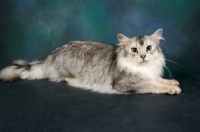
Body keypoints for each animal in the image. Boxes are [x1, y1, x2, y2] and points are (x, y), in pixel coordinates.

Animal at [0, 28, 181, 95]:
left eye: (149, 48)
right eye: (134, 50)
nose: (143, 57)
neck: (145, 68)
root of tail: (49, 57)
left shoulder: (151, 74)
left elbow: (158, 79)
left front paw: (171, 82)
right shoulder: (127, 83)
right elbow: (153, 85)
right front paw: (171, 89)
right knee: (63, 79)